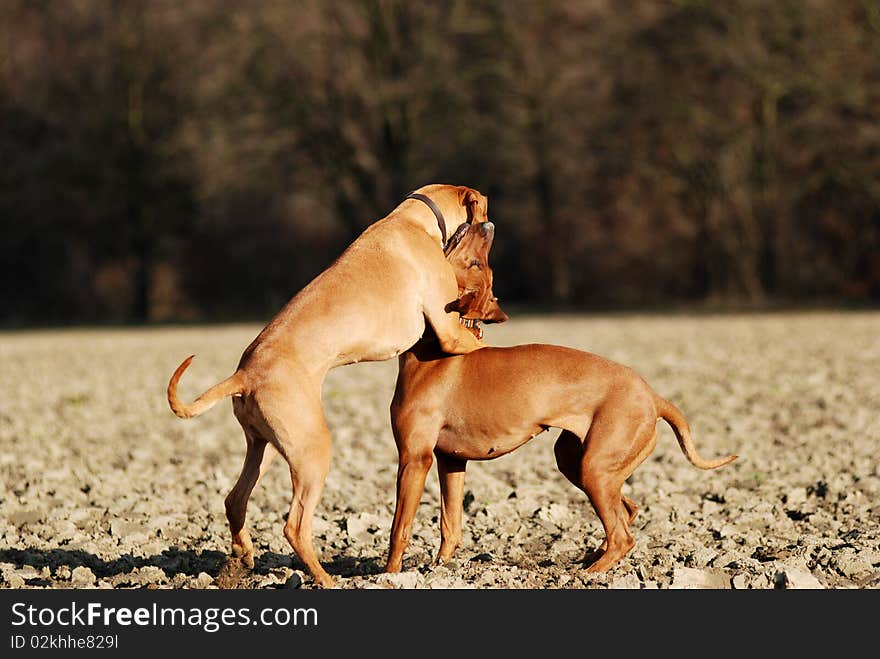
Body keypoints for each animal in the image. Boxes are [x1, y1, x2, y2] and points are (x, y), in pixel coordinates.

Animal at [168, 184, 492, 588]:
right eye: (483, 210)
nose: (490, 226)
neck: (415, 219)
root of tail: (244, 374)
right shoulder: (447, 329)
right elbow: (480, 345)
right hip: (313, 453)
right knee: (294, 526)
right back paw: (324, 578)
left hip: (267, 447)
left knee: (234, 500)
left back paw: (243, 557)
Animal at [388, 224, 740, 576]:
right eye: (477, 264)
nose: (487, 226)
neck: (433, 349)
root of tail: (652, 394)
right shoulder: (451, 461)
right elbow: (450, 524)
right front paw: (439, 568)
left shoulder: (414, 459)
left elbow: (398, 529)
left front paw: (390, 575)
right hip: (578, 462)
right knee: (627, 511)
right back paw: (592, 556)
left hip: (594, 468)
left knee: (622, 536)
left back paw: (590, 573)